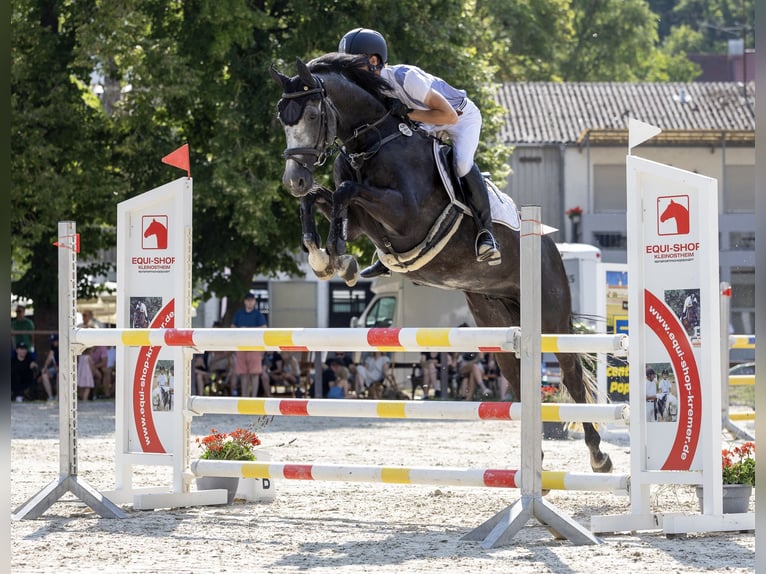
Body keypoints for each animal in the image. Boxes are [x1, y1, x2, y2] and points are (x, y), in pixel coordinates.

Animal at [270, 53, 613, 473]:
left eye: (313, 115)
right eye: (282, 118)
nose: (293, 180)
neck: (373, 141)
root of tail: (548, 243)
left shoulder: (406, 216)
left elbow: (344, 191)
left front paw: (334, 251)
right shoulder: (366, 220)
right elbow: (324, 197)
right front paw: (327, 258)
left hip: (551, 316)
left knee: (572, 373)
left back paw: (599, 456)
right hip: (495, 320)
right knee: (517, 377)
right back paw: (535, 460)